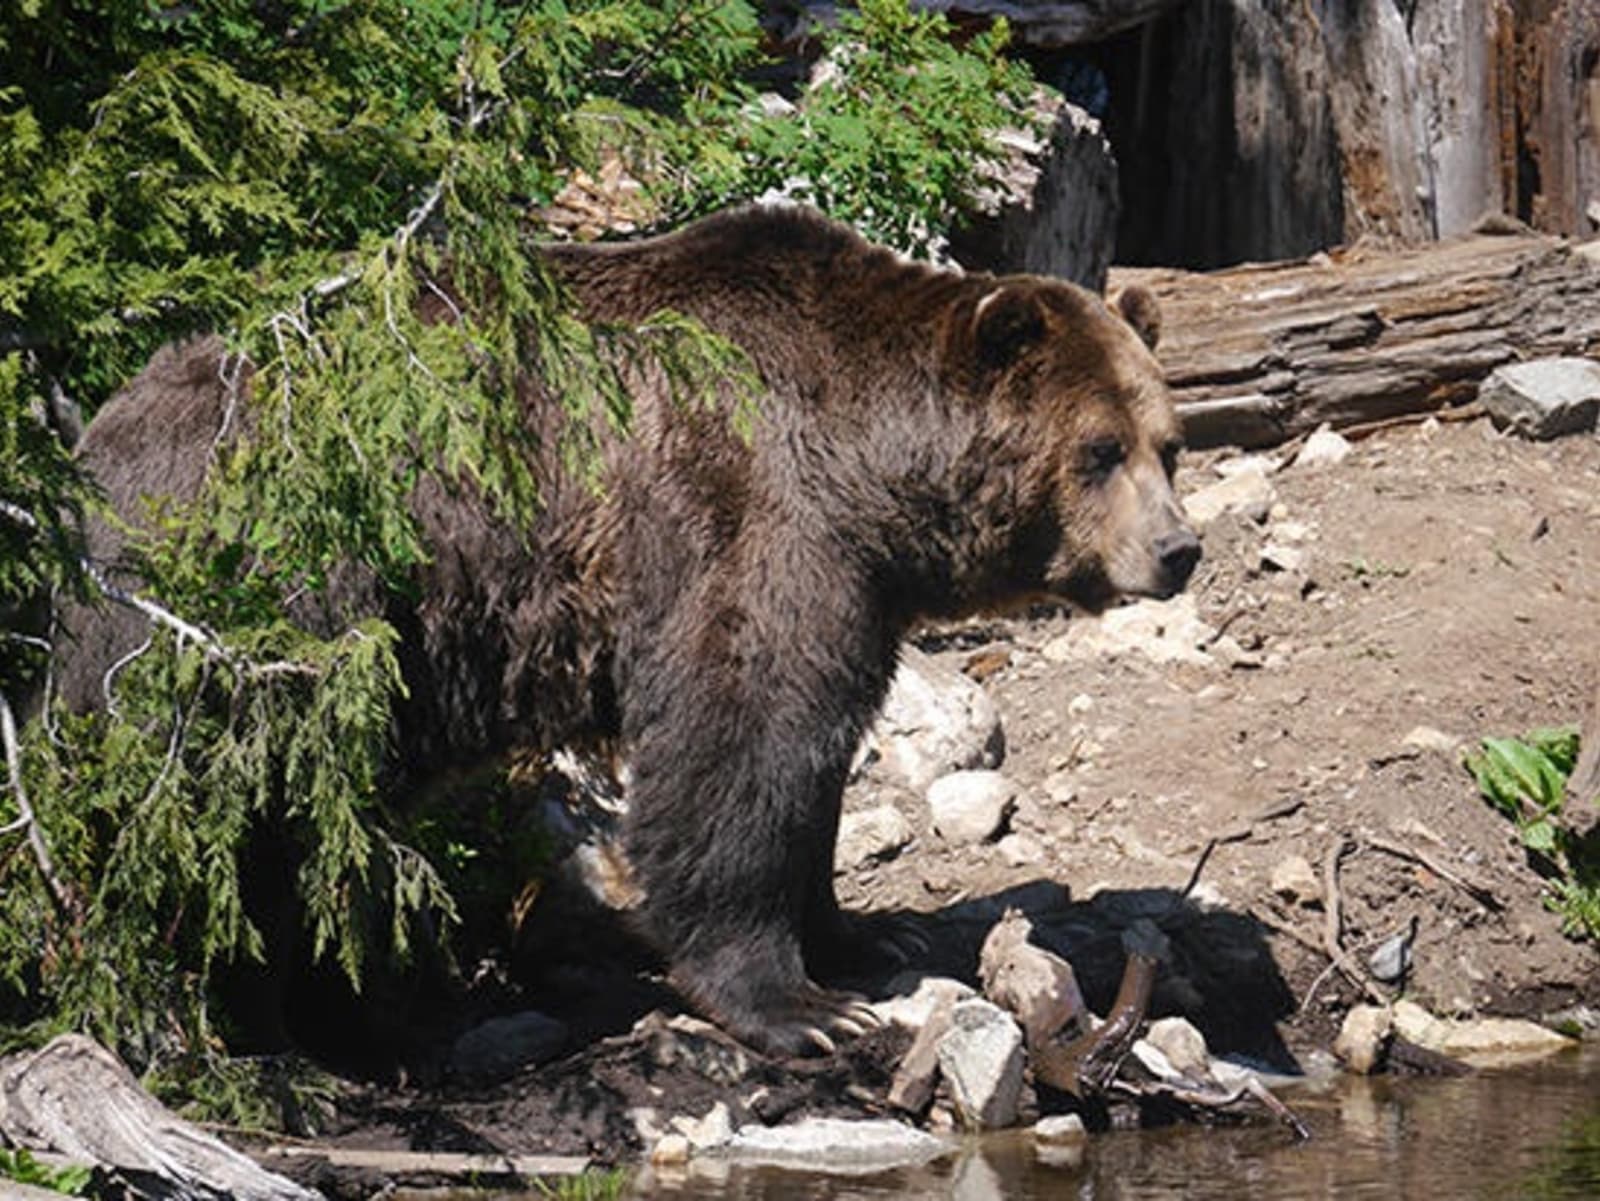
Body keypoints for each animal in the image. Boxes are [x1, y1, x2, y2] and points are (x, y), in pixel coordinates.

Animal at [58, 204, 1199, 1059]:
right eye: (1097, 450)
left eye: (1167, 443)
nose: (1178, 548)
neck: (864, 469)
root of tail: (95, 441)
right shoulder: (742, 518)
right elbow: (738, 742)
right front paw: (798, 1003)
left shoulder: (855, 583)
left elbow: (817, 756)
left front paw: (862, 934)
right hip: (278, 601)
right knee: (239, 816)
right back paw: (261, 1023)